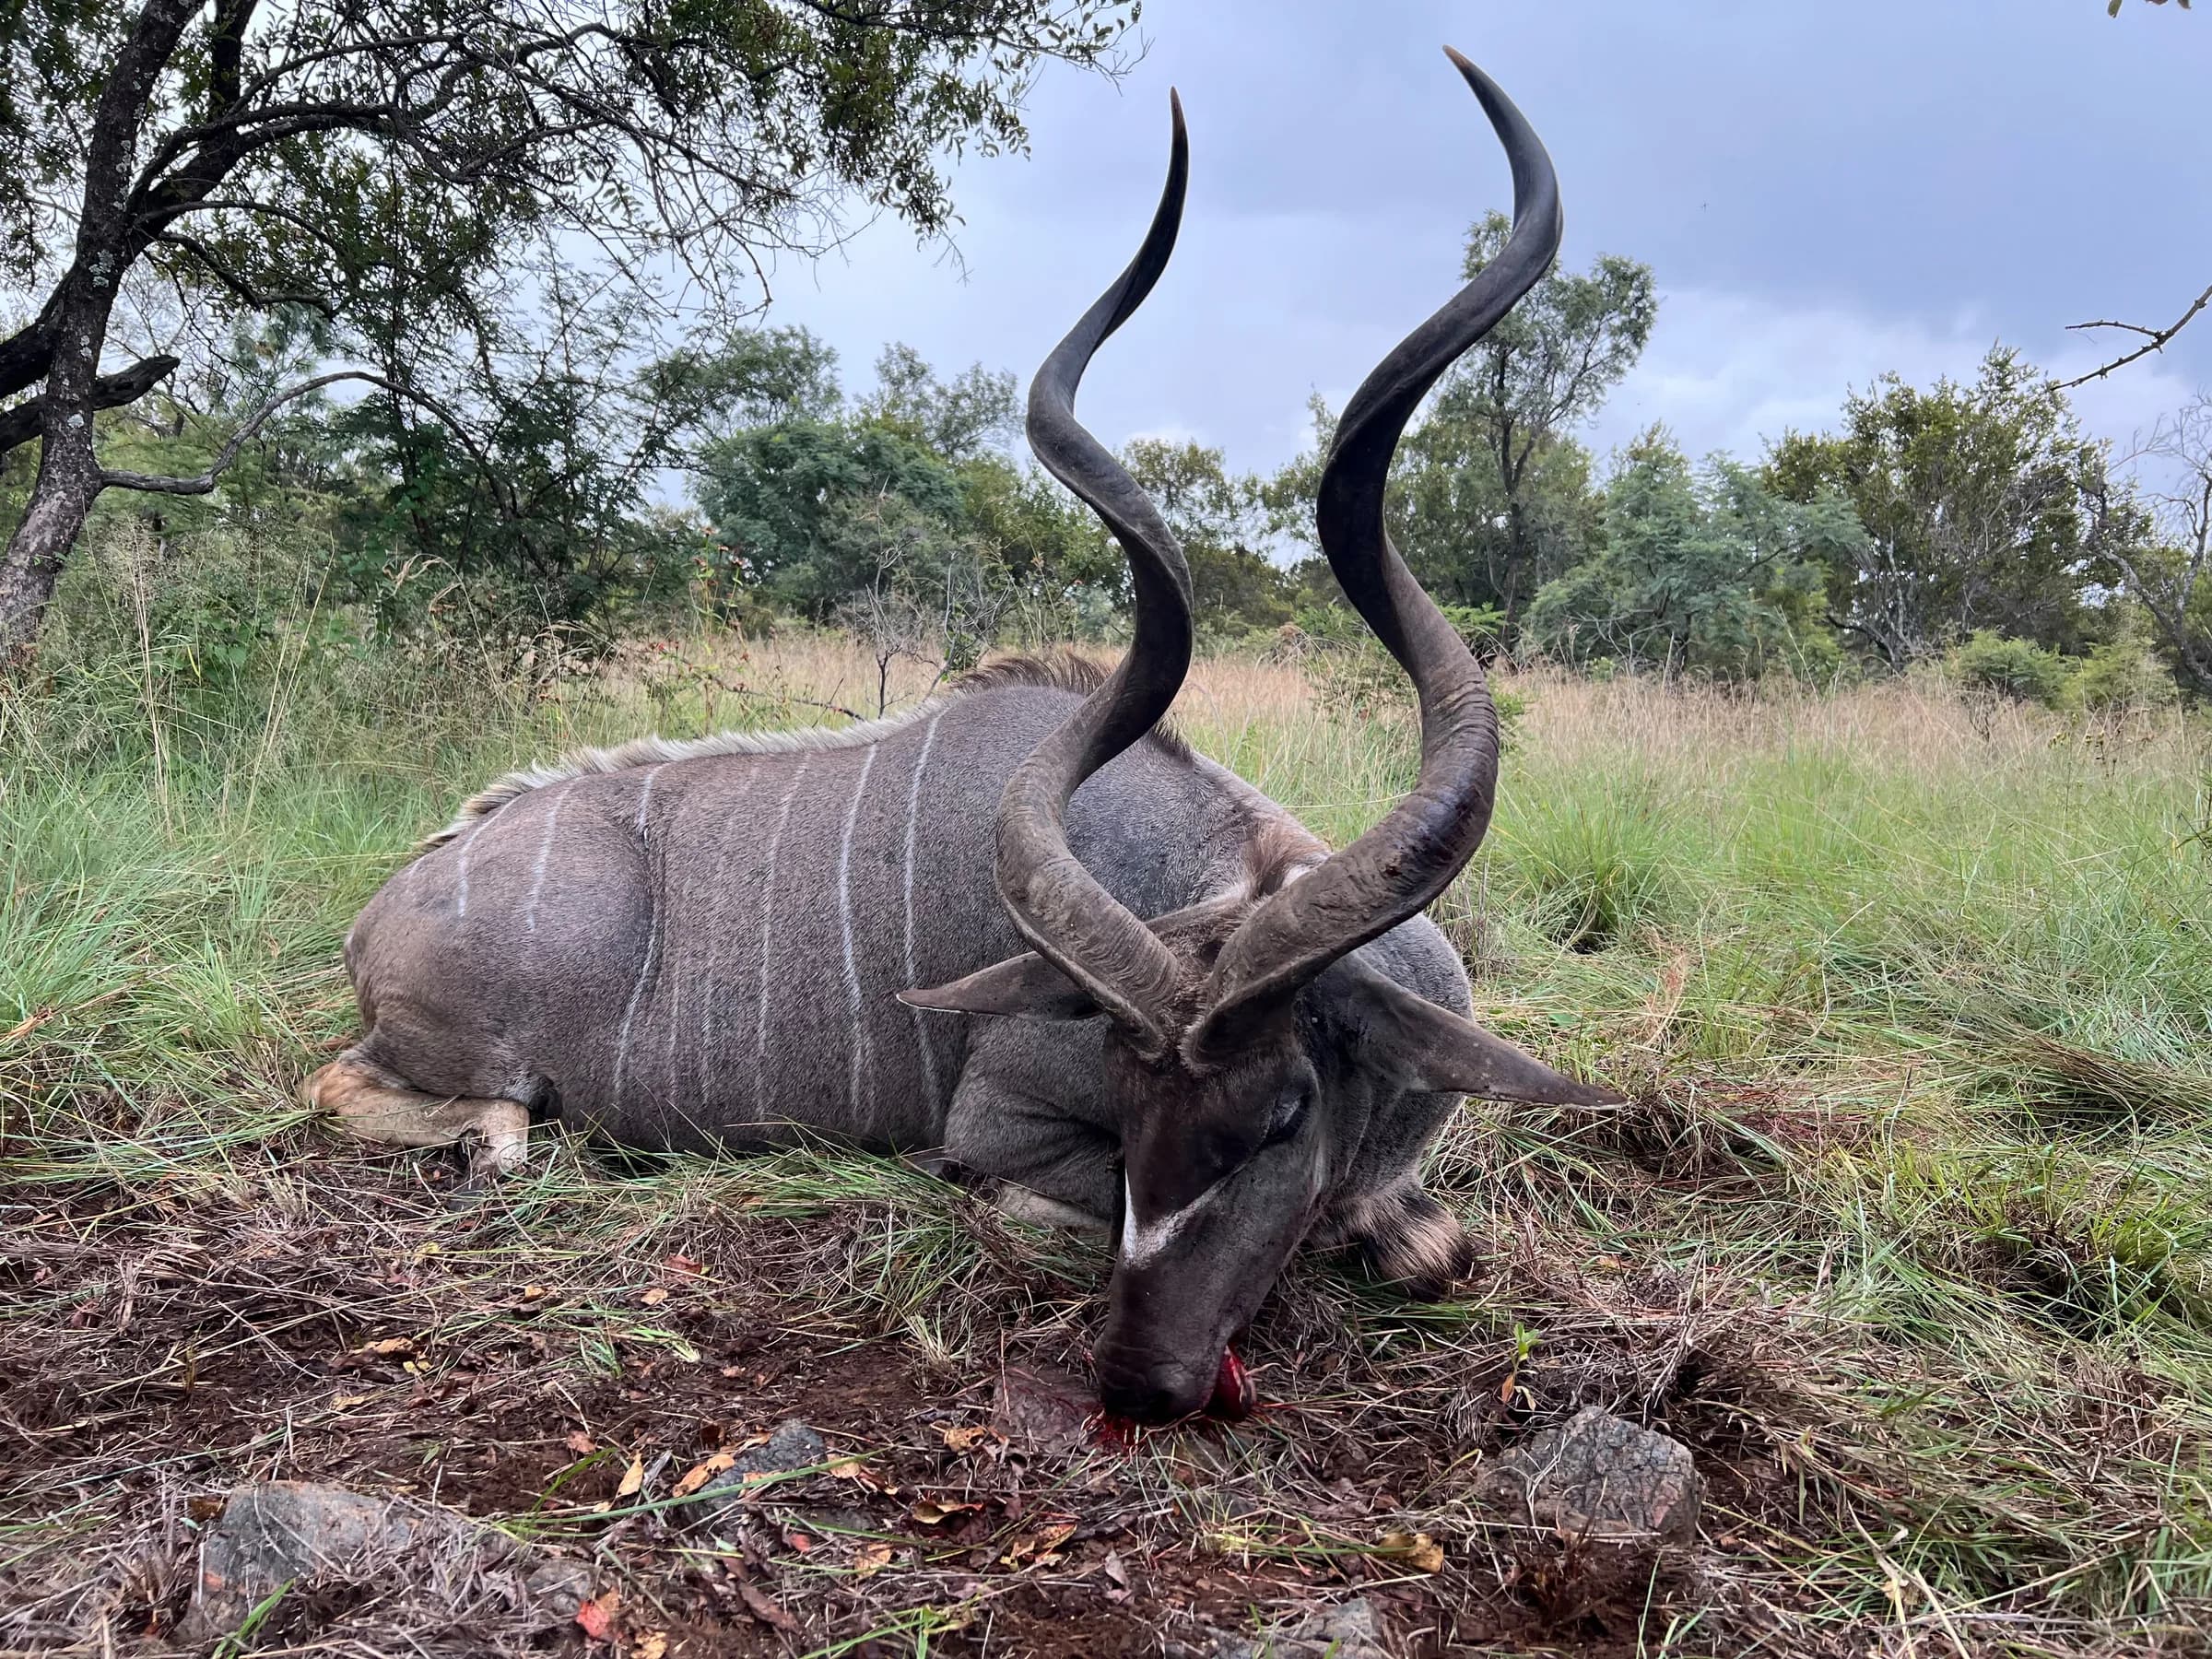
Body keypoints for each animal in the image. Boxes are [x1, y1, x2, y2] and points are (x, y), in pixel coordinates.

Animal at [306, 50, 1620, 1423]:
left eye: (1282, 1116)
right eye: (1128, 1098)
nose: (1141, 1381)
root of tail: (384, 908)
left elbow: (1430, 1242)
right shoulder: (1002, 1119)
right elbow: (1038, 1197)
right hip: (468, 1060)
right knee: (369, 1089)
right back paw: (493, 1139)